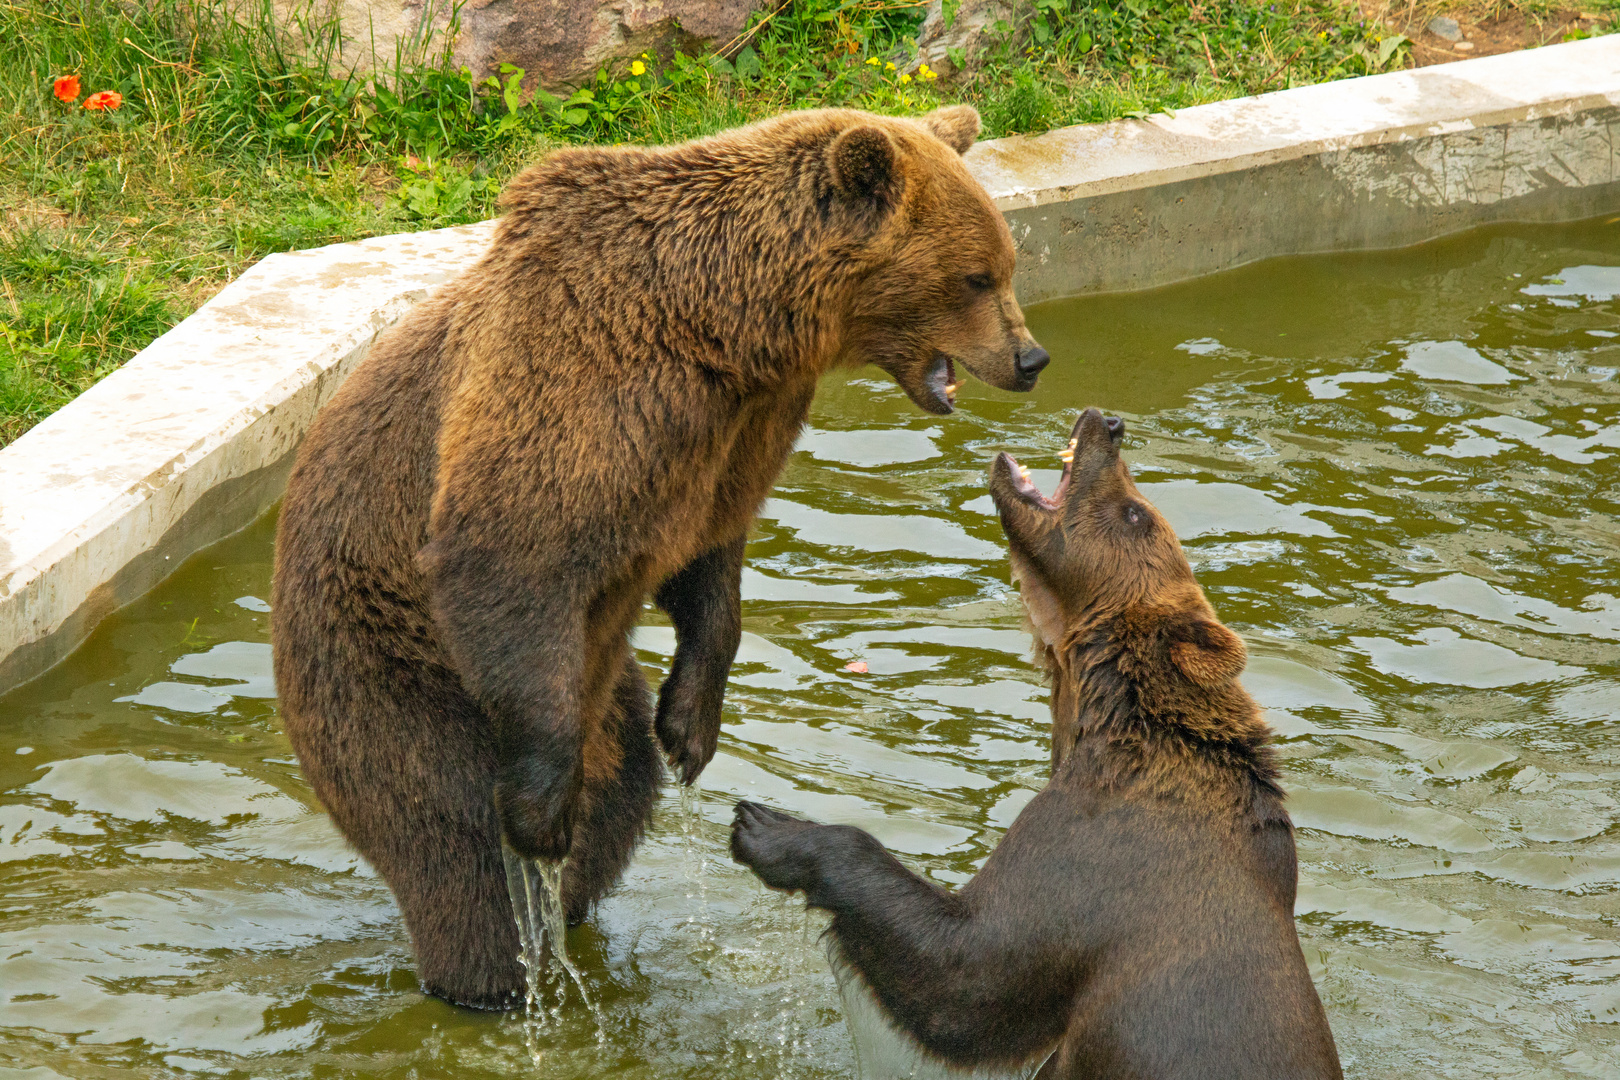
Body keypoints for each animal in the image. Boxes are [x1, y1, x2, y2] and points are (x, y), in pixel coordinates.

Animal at [273, 105, 1049, 1010]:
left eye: (1005, 265)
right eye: (976, 276)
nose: (1030, 359)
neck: (727, 329)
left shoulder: (730, 437)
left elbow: (708, 563)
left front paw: (691, 729)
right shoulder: (583, 390)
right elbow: (509, 553)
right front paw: (541, 815)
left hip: (604, 697)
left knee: (620, 798)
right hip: (392, 674)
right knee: (455, 852)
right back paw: (492, 962)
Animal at [735, 408, 1341, 1080]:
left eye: (1137, 513)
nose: (1109, 422)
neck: (1106, 723)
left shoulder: (1101, 861)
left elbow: (968, 974)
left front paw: (767, 826)